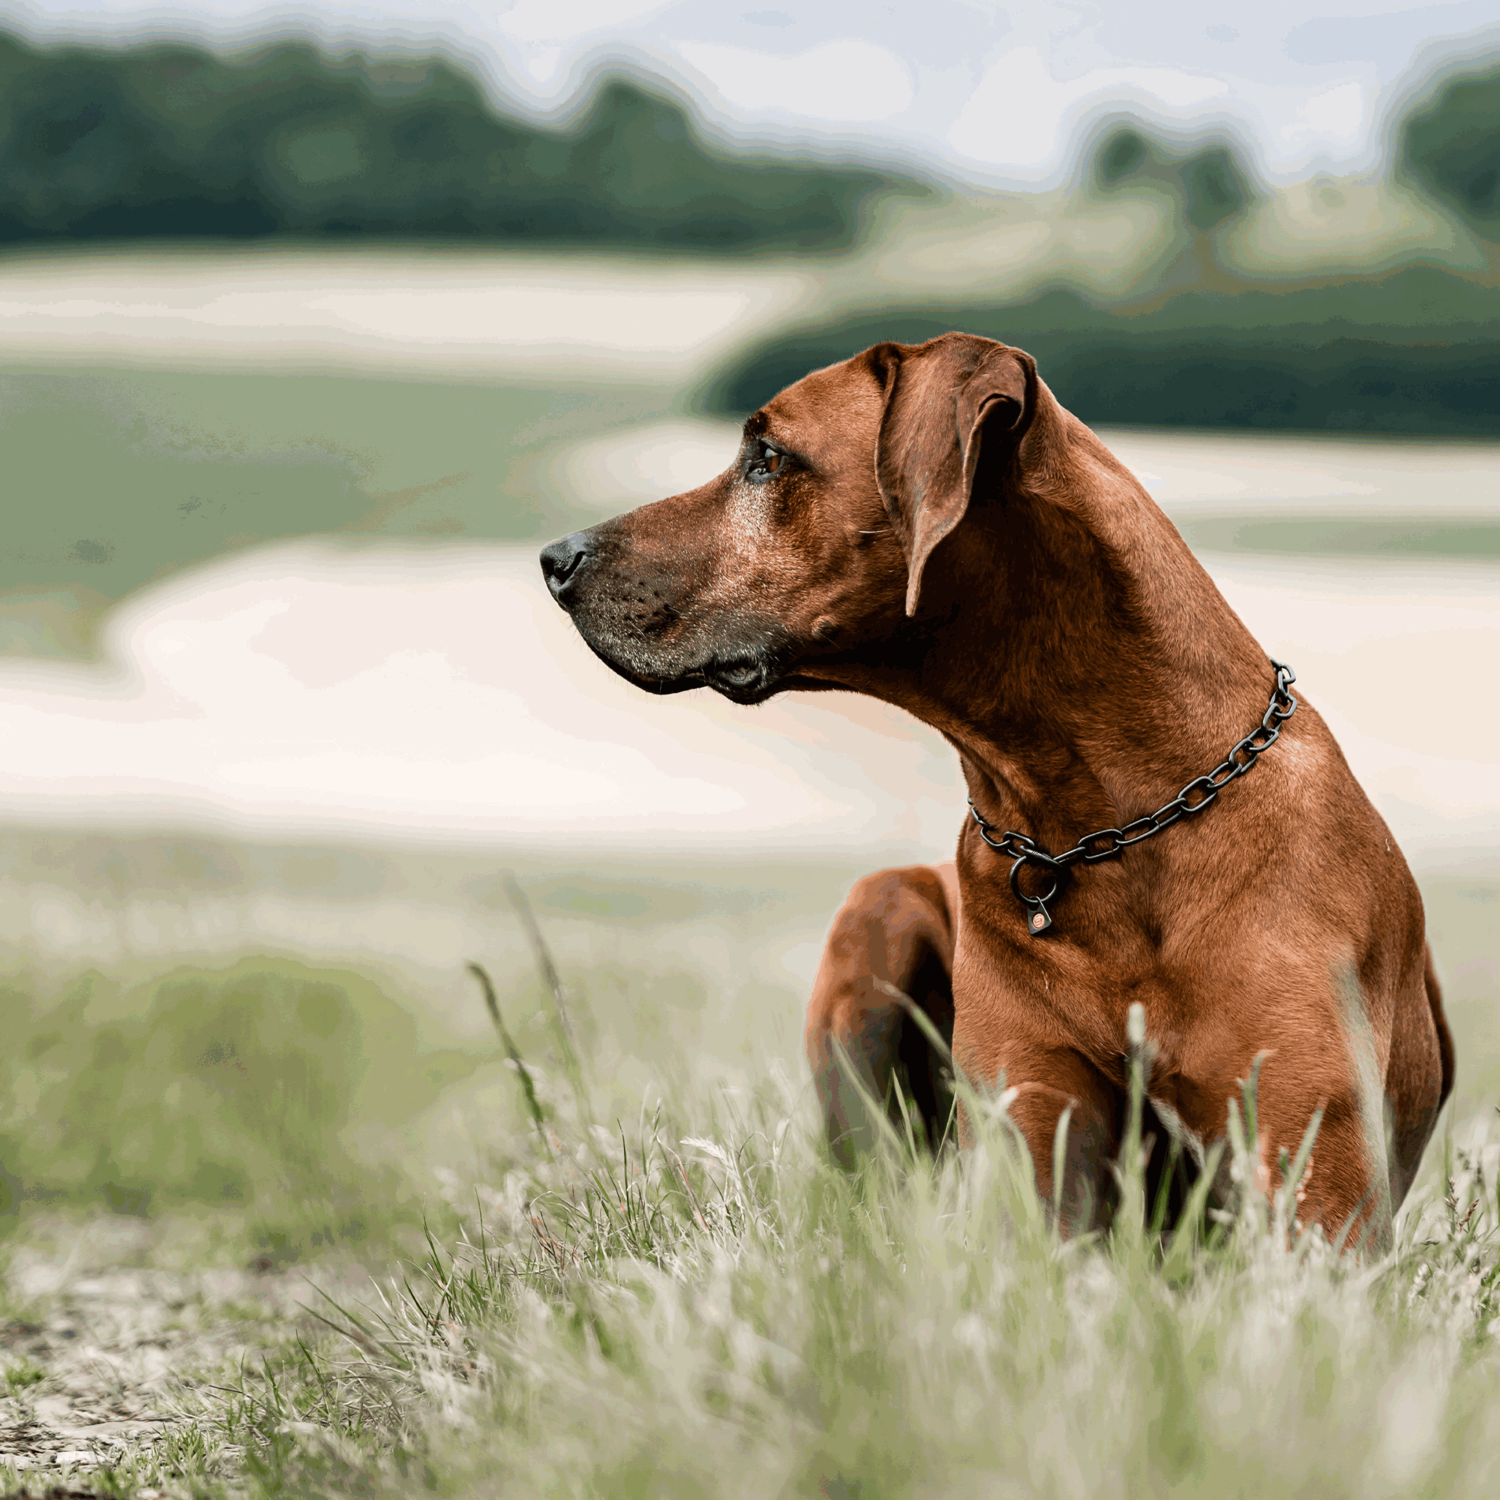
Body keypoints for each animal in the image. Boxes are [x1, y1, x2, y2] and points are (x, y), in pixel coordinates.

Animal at [549, 334, 1452, 1248]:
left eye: (767, 458)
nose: (556, 560)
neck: (1099, 829)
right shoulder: (1034, 1129)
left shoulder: (1316, 1187)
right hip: (878, 911)